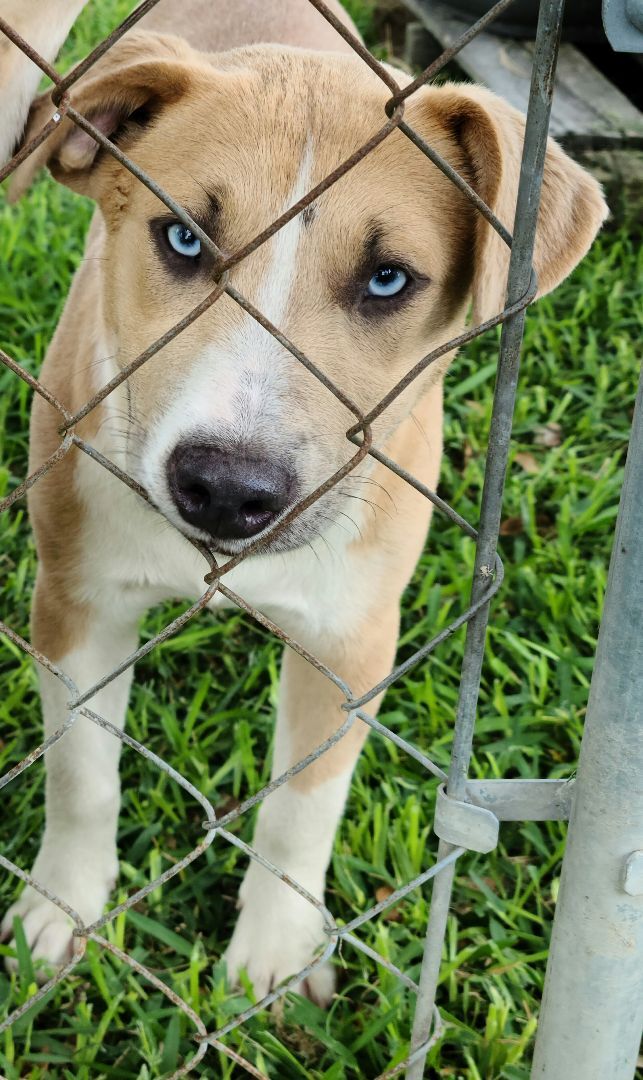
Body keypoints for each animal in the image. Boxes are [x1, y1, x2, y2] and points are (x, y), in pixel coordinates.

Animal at [0, 0, 609, 1002]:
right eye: (182, 239)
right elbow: (82, 773)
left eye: (388, 279)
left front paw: (276, 953)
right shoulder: (76, 602)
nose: (223, 489)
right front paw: (63, 908)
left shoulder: (350, 641)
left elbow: (302, 807)